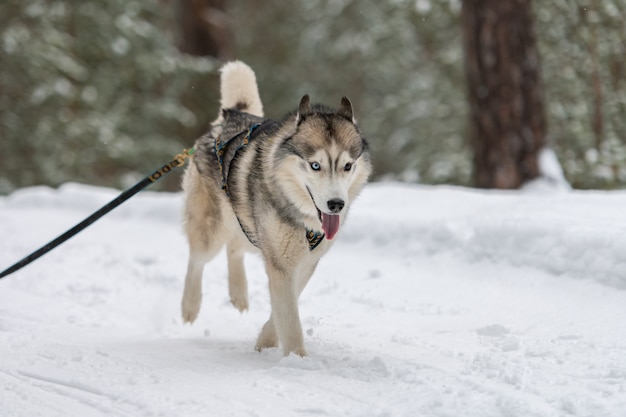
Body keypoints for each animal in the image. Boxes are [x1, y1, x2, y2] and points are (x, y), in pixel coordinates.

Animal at [178, 60, 368, 356]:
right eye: (315, 165)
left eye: (348, 166)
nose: (336, 205)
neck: (302, 220)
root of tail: (231, 116)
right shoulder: (281, 263)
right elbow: (290, 321)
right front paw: (297, 359)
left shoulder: (306, 262)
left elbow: (284, 309)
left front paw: (265, 342)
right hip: (211, 230)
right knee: (197, 259)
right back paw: (190, 305)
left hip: (247, 224)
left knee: (234, 247)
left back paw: (239, 293)